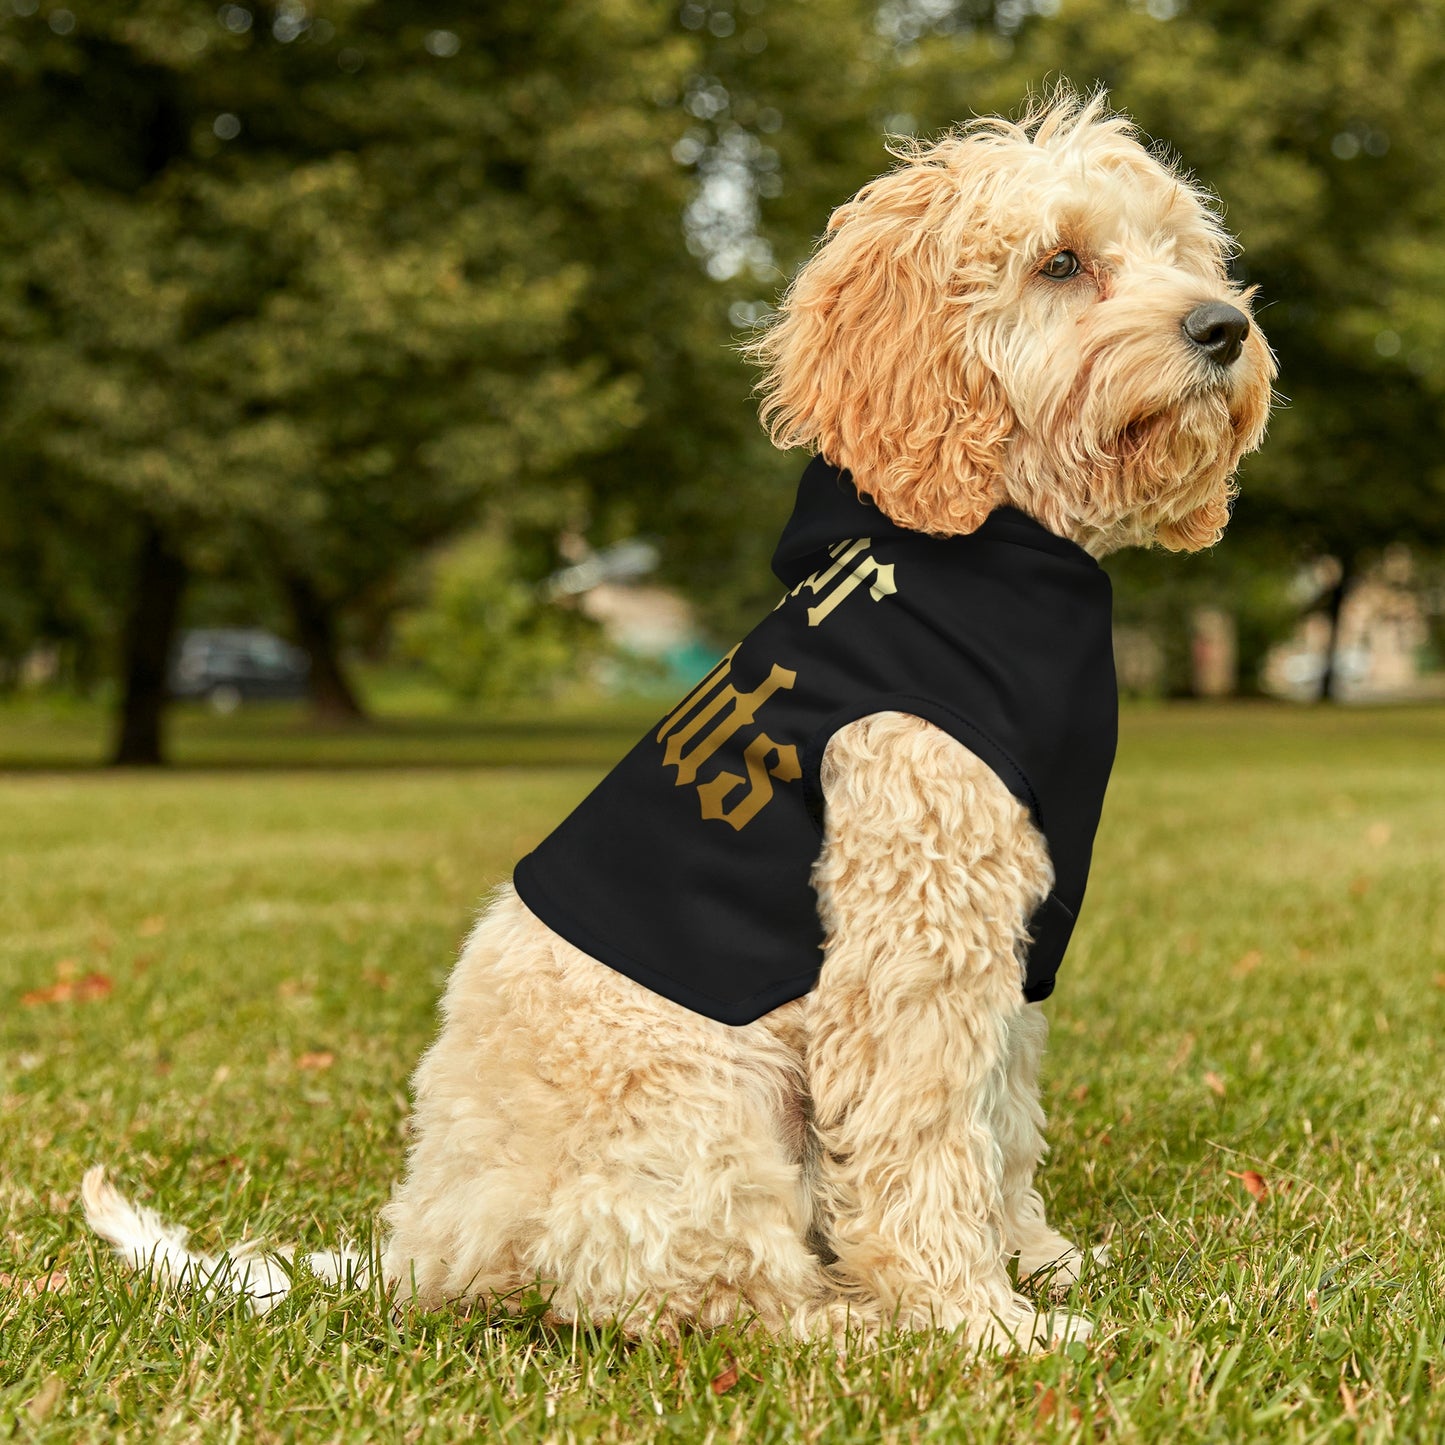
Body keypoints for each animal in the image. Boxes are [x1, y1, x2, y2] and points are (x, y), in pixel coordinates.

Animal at [84, 93, 1271, 1352]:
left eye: (1179, 251)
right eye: (1059, 262)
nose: (1223, 327)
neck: (988, 547)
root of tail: (424, 1246)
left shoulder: (1010, 939)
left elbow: (999, 1117)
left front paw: (1034, 1259)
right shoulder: (912, 935)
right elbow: (924, 1137)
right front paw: (976, 1319)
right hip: (706, 1101)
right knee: (701, 1292)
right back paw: (852, 1323)